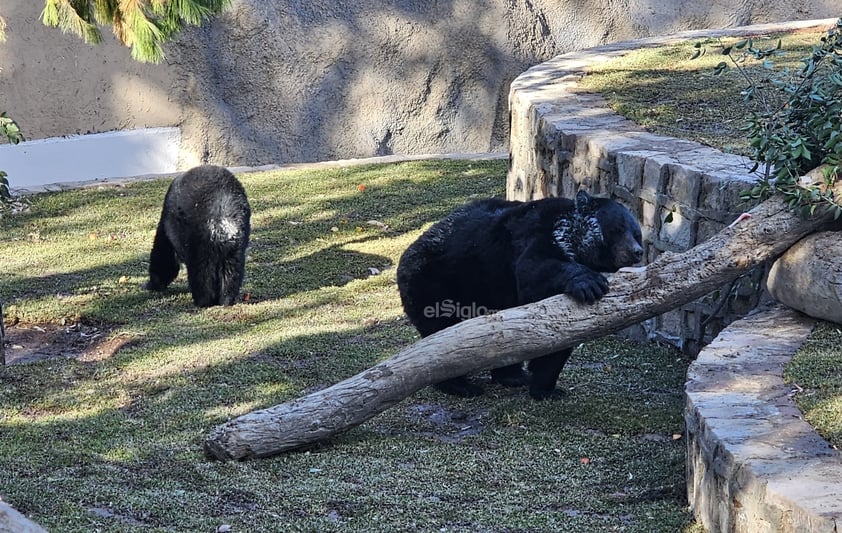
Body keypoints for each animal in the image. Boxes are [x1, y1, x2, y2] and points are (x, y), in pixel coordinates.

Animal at [145, 163, 249, 308]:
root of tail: (222, 217)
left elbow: (164, 258)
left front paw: (154, 283)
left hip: (200, 239)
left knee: (200, 272)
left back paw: (202, 301)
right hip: (235, 243)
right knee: (232, 268)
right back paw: (226, 299)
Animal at [398, 191, 640, 400]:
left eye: (637, 233)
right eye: (619, 228)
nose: (637, 252)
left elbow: (559, 340)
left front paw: (546, 388)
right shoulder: (537, 234)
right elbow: (533, 270)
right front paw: (590, 283)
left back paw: (513, 376)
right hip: (432, 280)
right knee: (440, 332)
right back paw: (460, 385)